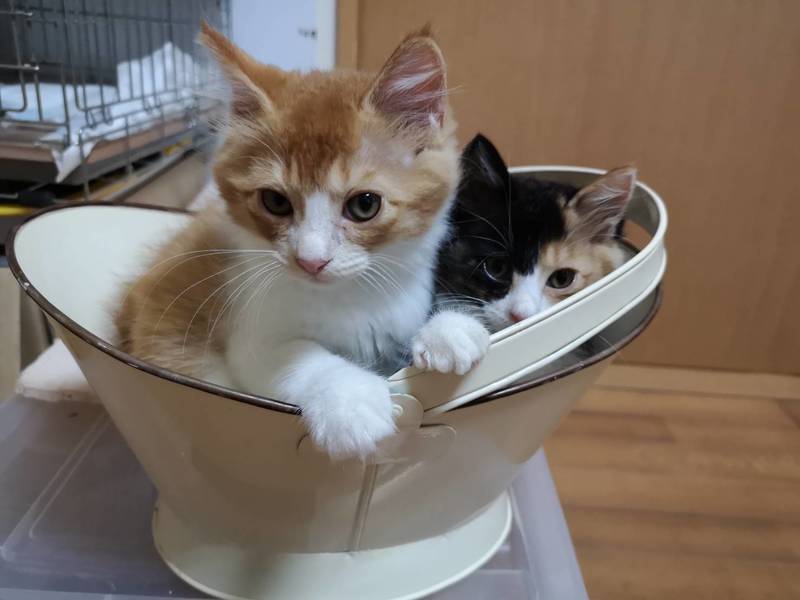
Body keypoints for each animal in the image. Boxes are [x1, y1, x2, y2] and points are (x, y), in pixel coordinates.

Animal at [115, 25, 489, 459]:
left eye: (364, 205)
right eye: (275, 202)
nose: (311, 261)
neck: (351, 298)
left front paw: (451, 330)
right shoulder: (250, 336)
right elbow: (301, 358)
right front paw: (351, 403)